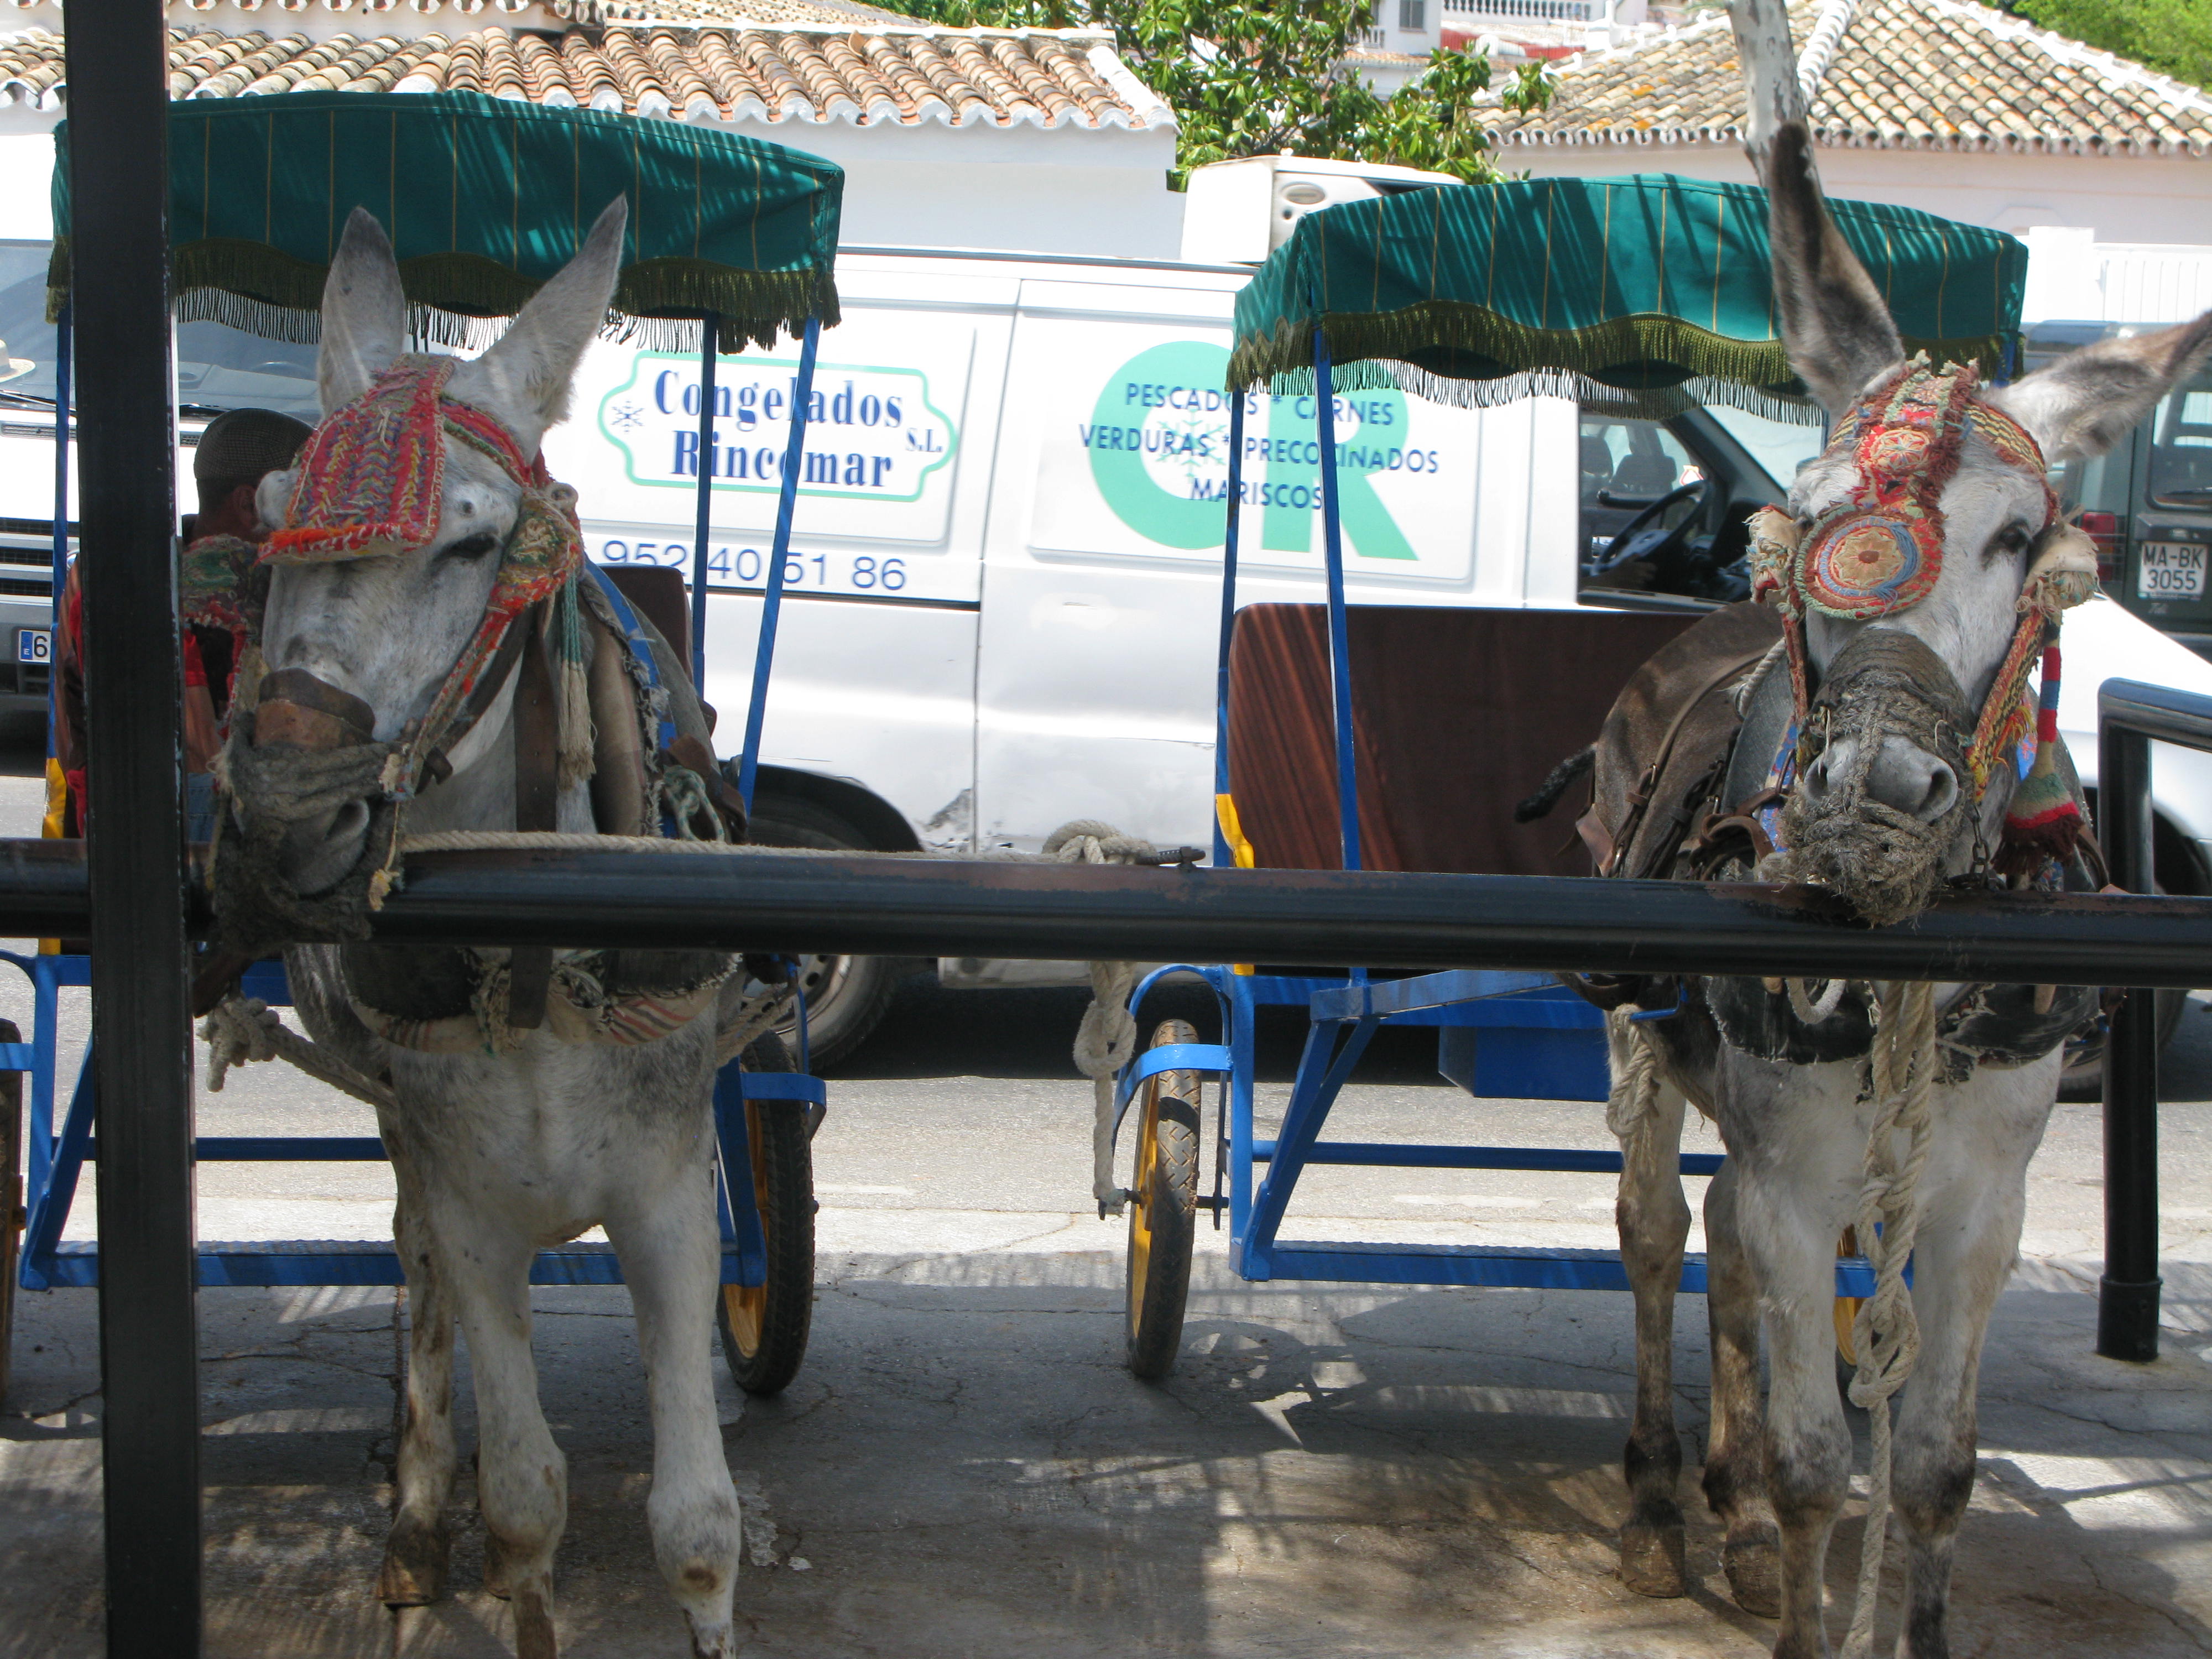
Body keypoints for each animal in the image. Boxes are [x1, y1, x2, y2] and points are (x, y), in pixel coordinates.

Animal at [213, 200, 758, 1659]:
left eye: (469, 543)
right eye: (271, 528)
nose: (284, 810)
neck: (537, 946)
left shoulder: (666, 1191)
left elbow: (696, 1524)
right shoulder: (468, 1199)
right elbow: (524, 1504)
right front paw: (470, 1536)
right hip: (409, 1137)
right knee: (412, 1272)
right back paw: (411, 1520)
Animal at [1571, 122, 2212, 1657]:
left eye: (2022, 535)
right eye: (1809, 518)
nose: (1877, 784)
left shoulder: (1984, 1198)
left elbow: (1931, 1467)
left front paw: (1887, 1602)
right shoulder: (1800, 1174)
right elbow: (1820, 1463)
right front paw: (1794, 1570)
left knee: (1727, 1254)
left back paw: (1729, 1512)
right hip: (1640, 1043)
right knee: (1658, 1237)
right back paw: (1660, 1495)